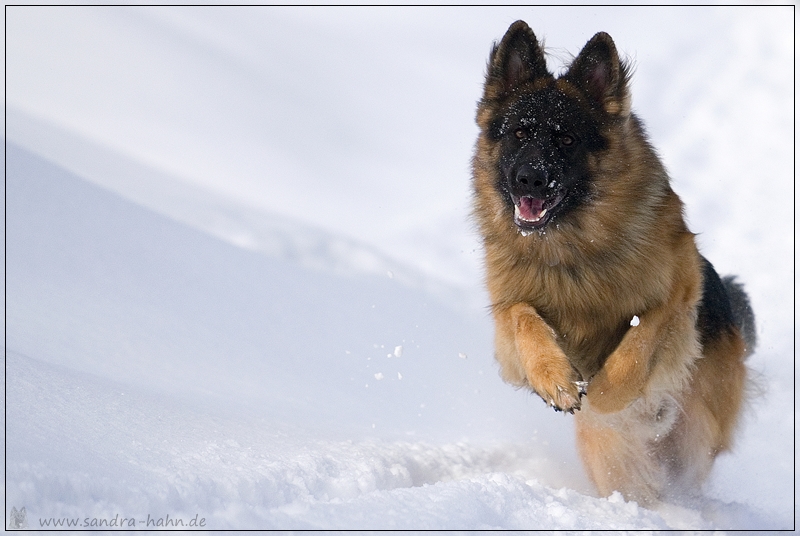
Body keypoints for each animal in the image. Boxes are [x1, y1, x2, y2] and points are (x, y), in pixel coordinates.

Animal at [476, 21, 756, 504]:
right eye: (519, 134)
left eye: (566, 139)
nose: (529, 179)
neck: (572, 253)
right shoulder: (508, 320)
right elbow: (523, 316)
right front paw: (556, 379)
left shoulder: (677, 294)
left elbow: (638, 342)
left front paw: (606, 395)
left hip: (698, 425)